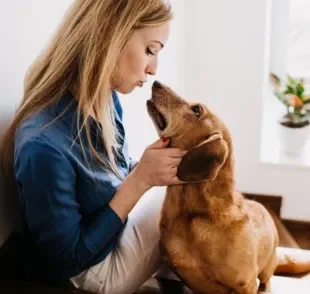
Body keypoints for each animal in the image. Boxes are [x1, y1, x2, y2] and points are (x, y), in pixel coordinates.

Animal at [147, 80, 308, 294]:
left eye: (196, 110)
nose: (156, 82)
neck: (193, 215)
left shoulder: (245, 284)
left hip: (267, 266)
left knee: (266, 280)